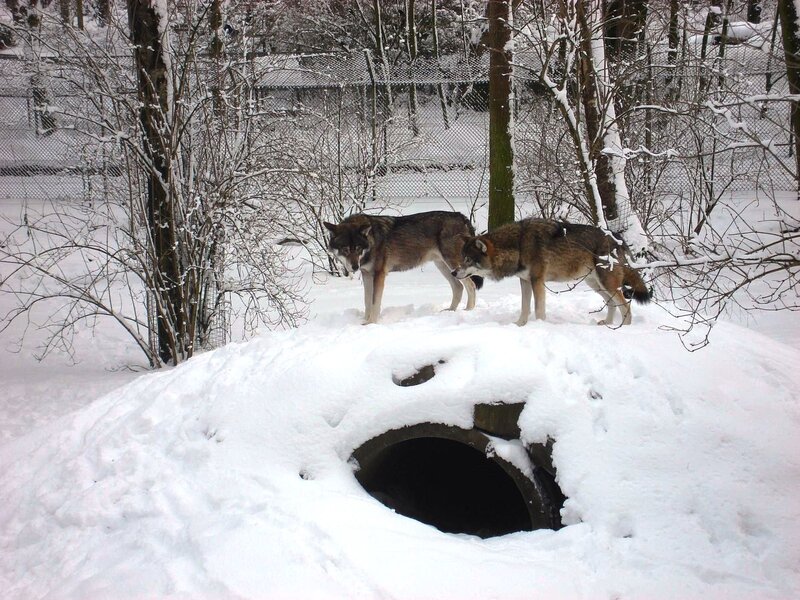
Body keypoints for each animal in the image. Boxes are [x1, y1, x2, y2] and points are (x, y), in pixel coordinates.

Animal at [324, 211, 484, 324]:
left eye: (357, 248)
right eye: (345, 249)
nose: (354, 266)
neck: (371, 240)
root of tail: (462, 216)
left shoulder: (379, 275)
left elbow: (375, 302)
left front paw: (371, 323)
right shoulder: (366, 274)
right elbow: (367, 301)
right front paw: (364, 321)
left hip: (454, 265)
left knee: (470, 285)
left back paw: (468, 311)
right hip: (443, 266)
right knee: (458, 287)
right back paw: (450, 311)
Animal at [453, 218, 651, 326]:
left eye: (468, 260)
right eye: (462, 258)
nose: (454, 272)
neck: (518, 245)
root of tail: (618, 237)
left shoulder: (537, 281)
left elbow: (538, 309)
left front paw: (540, 325)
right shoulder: (525, 281)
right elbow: (525, 307)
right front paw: (519, 325)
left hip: (606, 284)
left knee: (625, 306)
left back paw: (625, 328)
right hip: (596, 285)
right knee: (612, 304)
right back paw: (608, 324)